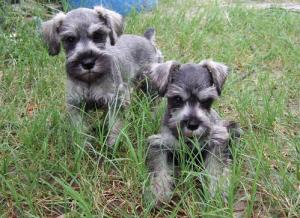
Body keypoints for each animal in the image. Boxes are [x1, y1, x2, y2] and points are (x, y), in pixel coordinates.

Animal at [41, 6, 163, 146]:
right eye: (70, 39)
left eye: (98, 35)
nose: (88, 63)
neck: (90, 80)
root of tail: (146, 39)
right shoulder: (75, 104)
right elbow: (79, 127)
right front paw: (83, 145)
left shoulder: (114, 101)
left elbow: (115, 123)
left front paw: (113, 143)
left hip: (150, 84)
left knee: (154, 102)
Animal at [144, 59, 241, 204]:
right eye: (177, 99)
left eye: (207, 100)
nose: (193, 124)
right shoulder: (160, 144)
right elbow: (160, 167)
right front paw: (159, 191)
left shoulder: (216, 141)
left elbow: (215, 168)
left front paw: (217, 191)